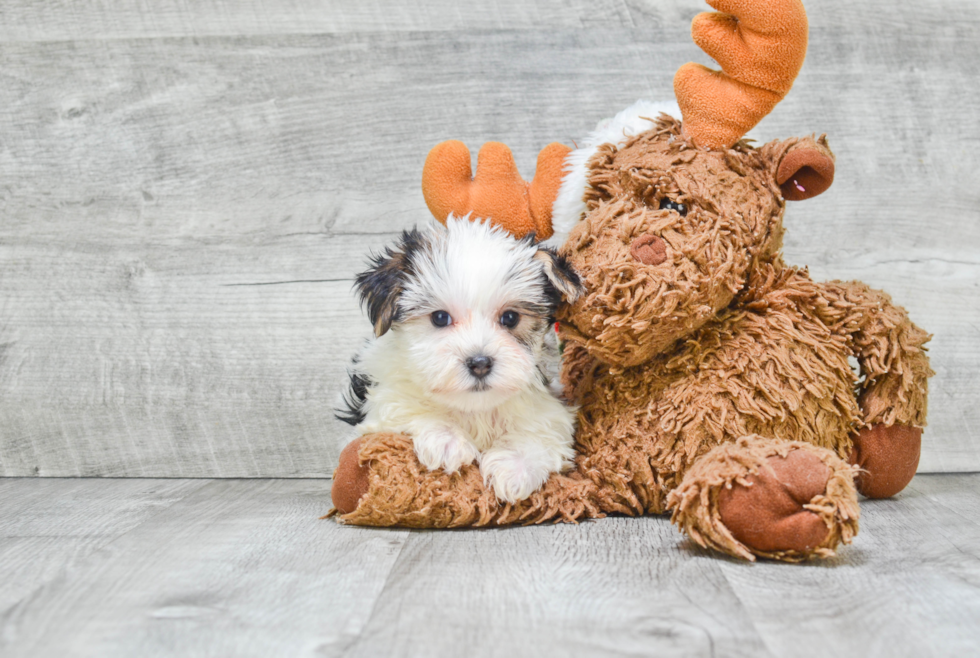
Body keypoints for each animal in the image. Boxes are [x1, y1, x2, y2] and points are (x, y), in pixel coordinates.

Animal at [336, 215, 580, 502]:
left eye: (510, 318)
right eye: (440, 317)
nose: (480, 363)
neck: (474, 409)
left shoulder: (550, 403)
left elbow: (542, 428)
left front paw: (515, 465)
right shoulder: (379, 400)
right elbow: (402, 407)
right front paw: (446, 439)